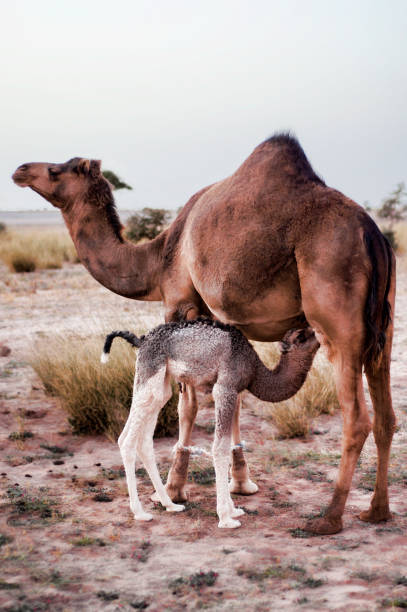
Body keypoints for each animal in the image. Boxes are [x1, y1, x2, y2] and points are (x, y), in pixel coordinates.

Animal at [12, 133, 396, 532]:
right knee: (386, 416)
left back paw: (329, 517)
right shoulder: (225, 323)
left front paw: (175, 489)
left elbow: (188, 405)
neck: (159, 256)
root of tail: (373, 235)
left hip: (338, 317)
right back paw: (377, 510)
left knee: (357, 418)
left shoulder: (180, 302)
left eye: (55, 170)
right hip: (383, 326)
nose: (20, 169)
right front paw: (240, 484)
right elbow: (235, 401)